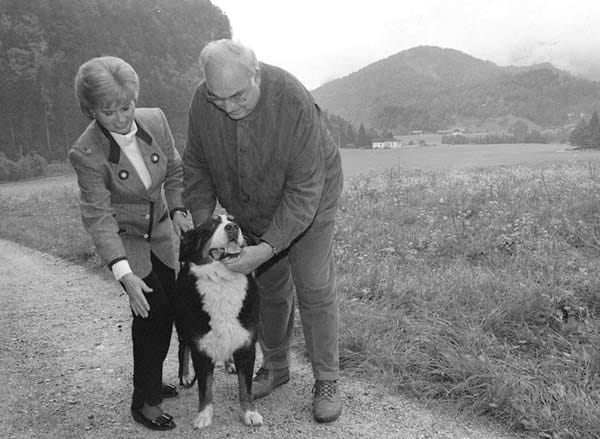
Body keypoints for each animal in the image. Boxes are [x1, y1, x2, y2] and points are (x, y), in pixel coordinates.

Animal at [173, 216, 262, 430]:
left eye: (236, 222)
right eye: (211, 226)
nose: (232, 227)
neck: (223, 281)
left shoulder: (247, 344)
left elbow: (245, 387)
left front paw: (250, 413)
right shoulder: (201, 348)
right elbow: (204, 388)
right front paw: (204, 415)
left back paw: (229, 363)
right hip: (182, 324)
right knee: (183, 348)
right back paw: (185, 375)